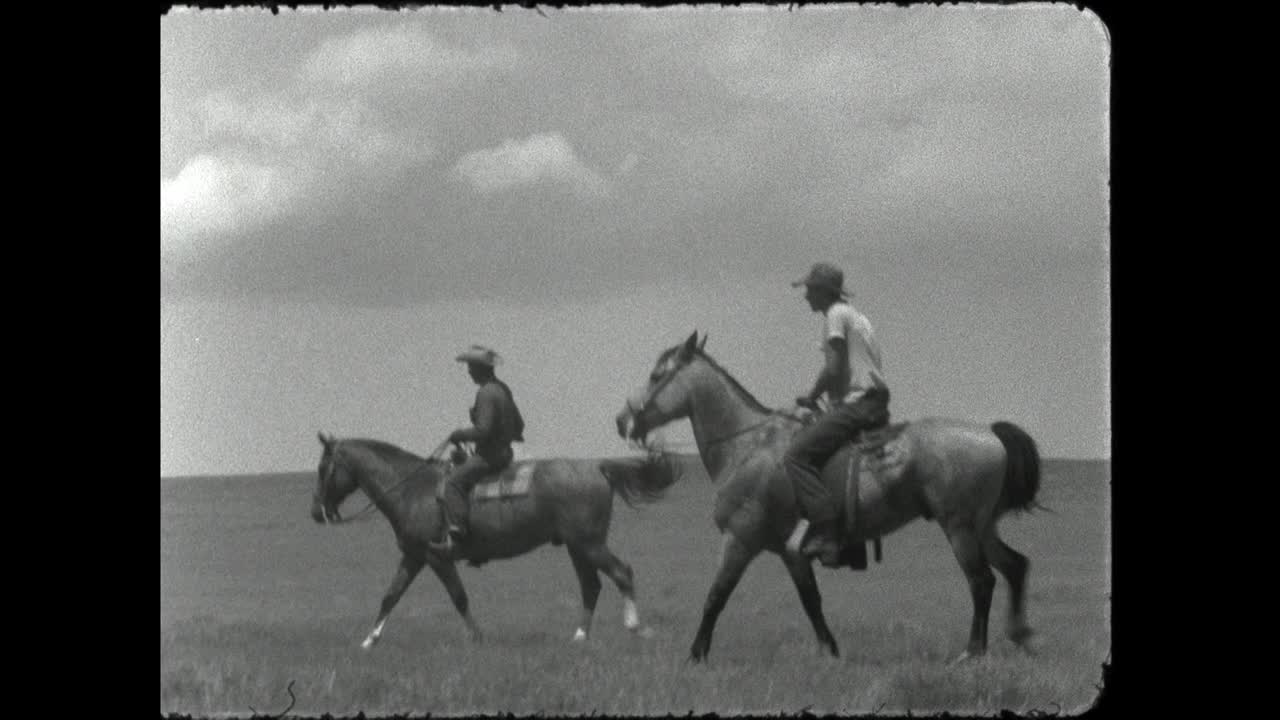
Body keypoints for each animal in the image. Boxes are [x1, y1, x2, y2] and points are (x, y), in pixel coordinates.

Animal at [311, 435, 680, 648]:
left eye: (322, 467)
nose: (316, 512)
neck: (413, 490)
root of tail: (599, 468)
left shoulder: (437, 557)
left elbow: (459, 597)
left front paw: (477, 637)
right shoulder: (414, 557)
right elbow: (390, 596)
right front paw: (369, 640)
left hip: (590, 544)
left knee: (621, 572)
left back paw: (635, 626)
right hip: (578, 547)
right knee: (591, 585)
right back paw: (579, 637)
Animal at [614, 330, 1044, 661]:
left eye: (656, 375)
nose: (622, 421)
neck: (749, 445)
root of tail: (990, 433)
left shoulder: (740, 539)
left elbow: (716, 595)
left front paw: (696, 654)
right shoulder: (790, 551)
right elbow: (811, 601)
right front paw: (830, 651)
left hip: (959, 527)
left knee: (982, 581)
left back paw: (973, 651)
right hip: (983, 527)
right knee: (1015, 566)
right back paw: (1019, 636)